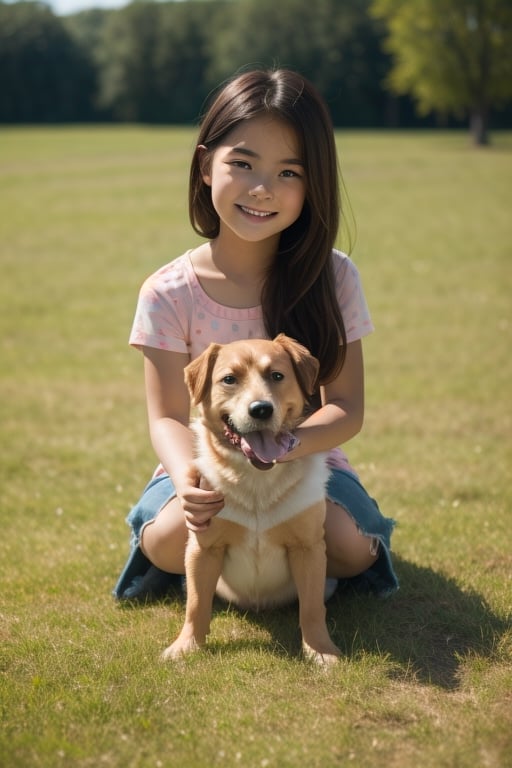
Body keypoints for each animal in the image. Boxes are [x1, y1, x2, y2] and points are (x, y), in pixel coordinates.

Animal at [162, 332, 342, 664]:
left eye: (277, 375)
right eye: (229, 379)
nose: (261, 409)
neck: (257, 480)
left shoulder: (308, 547)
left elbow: (312, 608)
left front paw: (320, 650)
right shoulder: (203, 547)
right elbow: (196, 604)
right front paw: (187, 646)